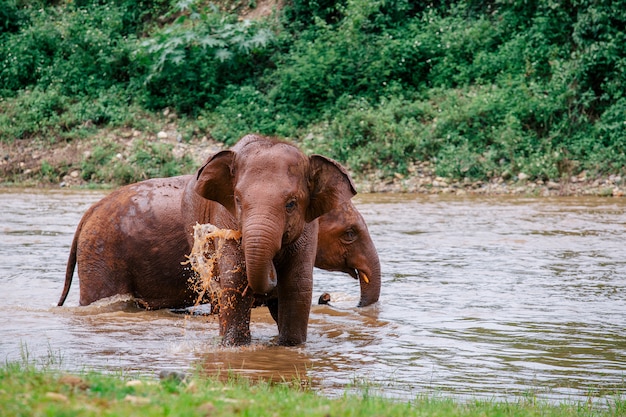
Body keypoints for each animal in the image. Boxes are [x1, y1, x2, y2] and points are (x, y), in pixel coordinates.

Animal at [59, 135, 380, 346]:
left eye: (291, 204)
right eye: (350, 234)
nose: (328, 298)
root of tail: (89, 212)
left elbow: (297, 288)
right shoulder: (224, 219)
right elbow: (233, 282)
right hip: (101, 254)